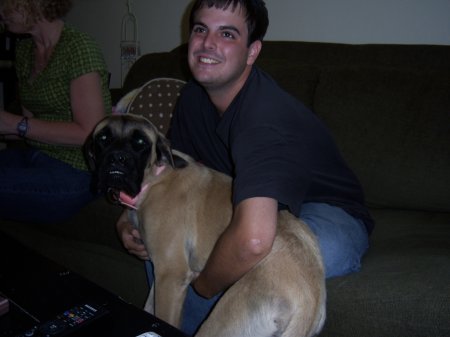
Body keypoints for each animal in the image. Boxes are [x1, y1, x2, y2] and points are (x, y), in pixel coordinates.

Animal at [86, 115, 326, 336]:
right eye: (103, 138)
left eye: (140, 142)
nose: (117, 159)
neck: (155, 177)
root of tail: (309, 301)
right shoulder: (160, 275)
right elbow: (147, 307)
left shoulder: (170, 275)